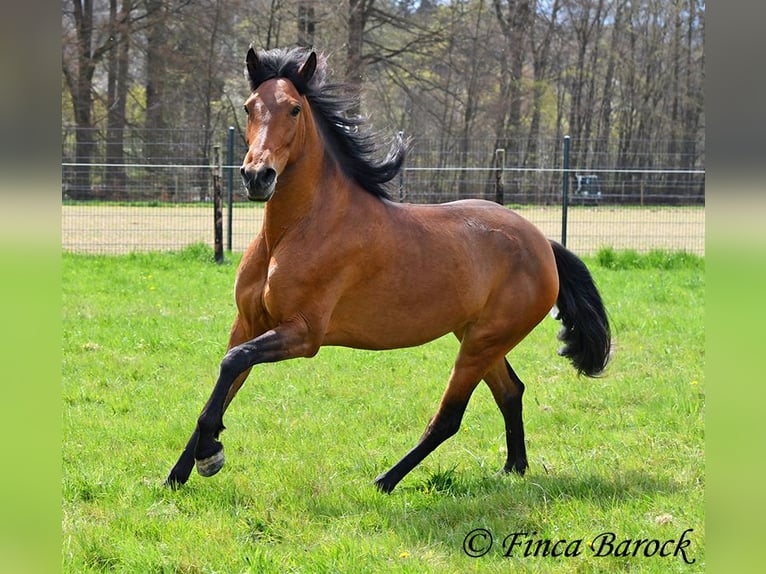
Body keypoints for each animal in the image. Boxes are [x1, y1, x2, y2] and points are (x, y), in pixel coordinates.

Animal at [165, 46, 611, 493]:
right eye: (249, 106)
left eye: (294, 108)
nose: (258, 176)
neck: (296, 231)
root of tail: (543, 244)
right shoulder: (248, 323)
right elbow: (226, 379)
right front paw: (179, 472)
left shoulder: (304, 334)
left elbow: (233, 363)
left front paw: (210, 455)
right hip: (477, 337)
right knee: (510, 391)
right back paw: (512, 468)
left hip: (482, 343)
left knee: (450, 417)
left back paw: (386, 480)